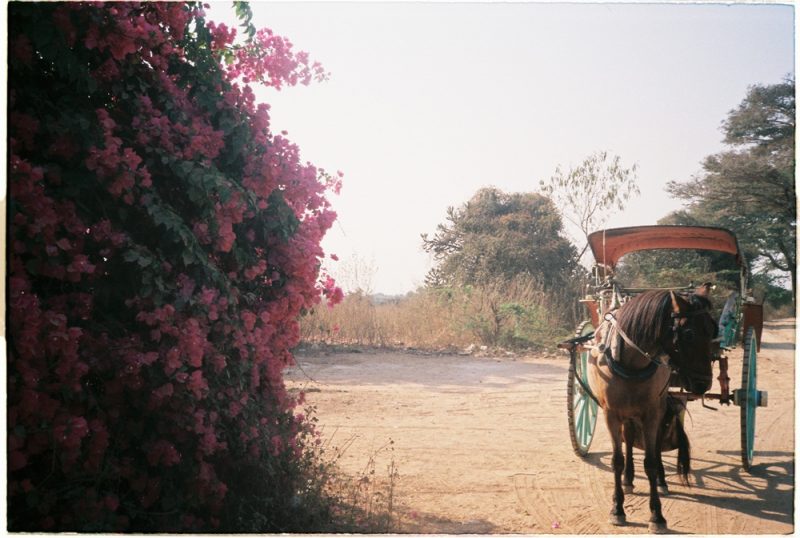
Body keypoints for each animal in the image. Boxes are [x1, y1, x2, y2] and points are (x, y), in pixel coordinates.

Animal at [588, 286, 720, 528]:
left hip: (656, 408)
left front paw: (656, 514)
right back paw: (628, 479)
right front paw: (617, 508)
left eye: (713, 329)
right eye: (689, 334)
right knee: (629, 438)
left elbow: (650, 461)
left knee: (655, 444)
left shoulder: (651, 413)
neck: (630, 363)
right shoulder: (611, 414)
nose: (703, 384)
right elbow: (617, 460)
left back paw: (660, 481)